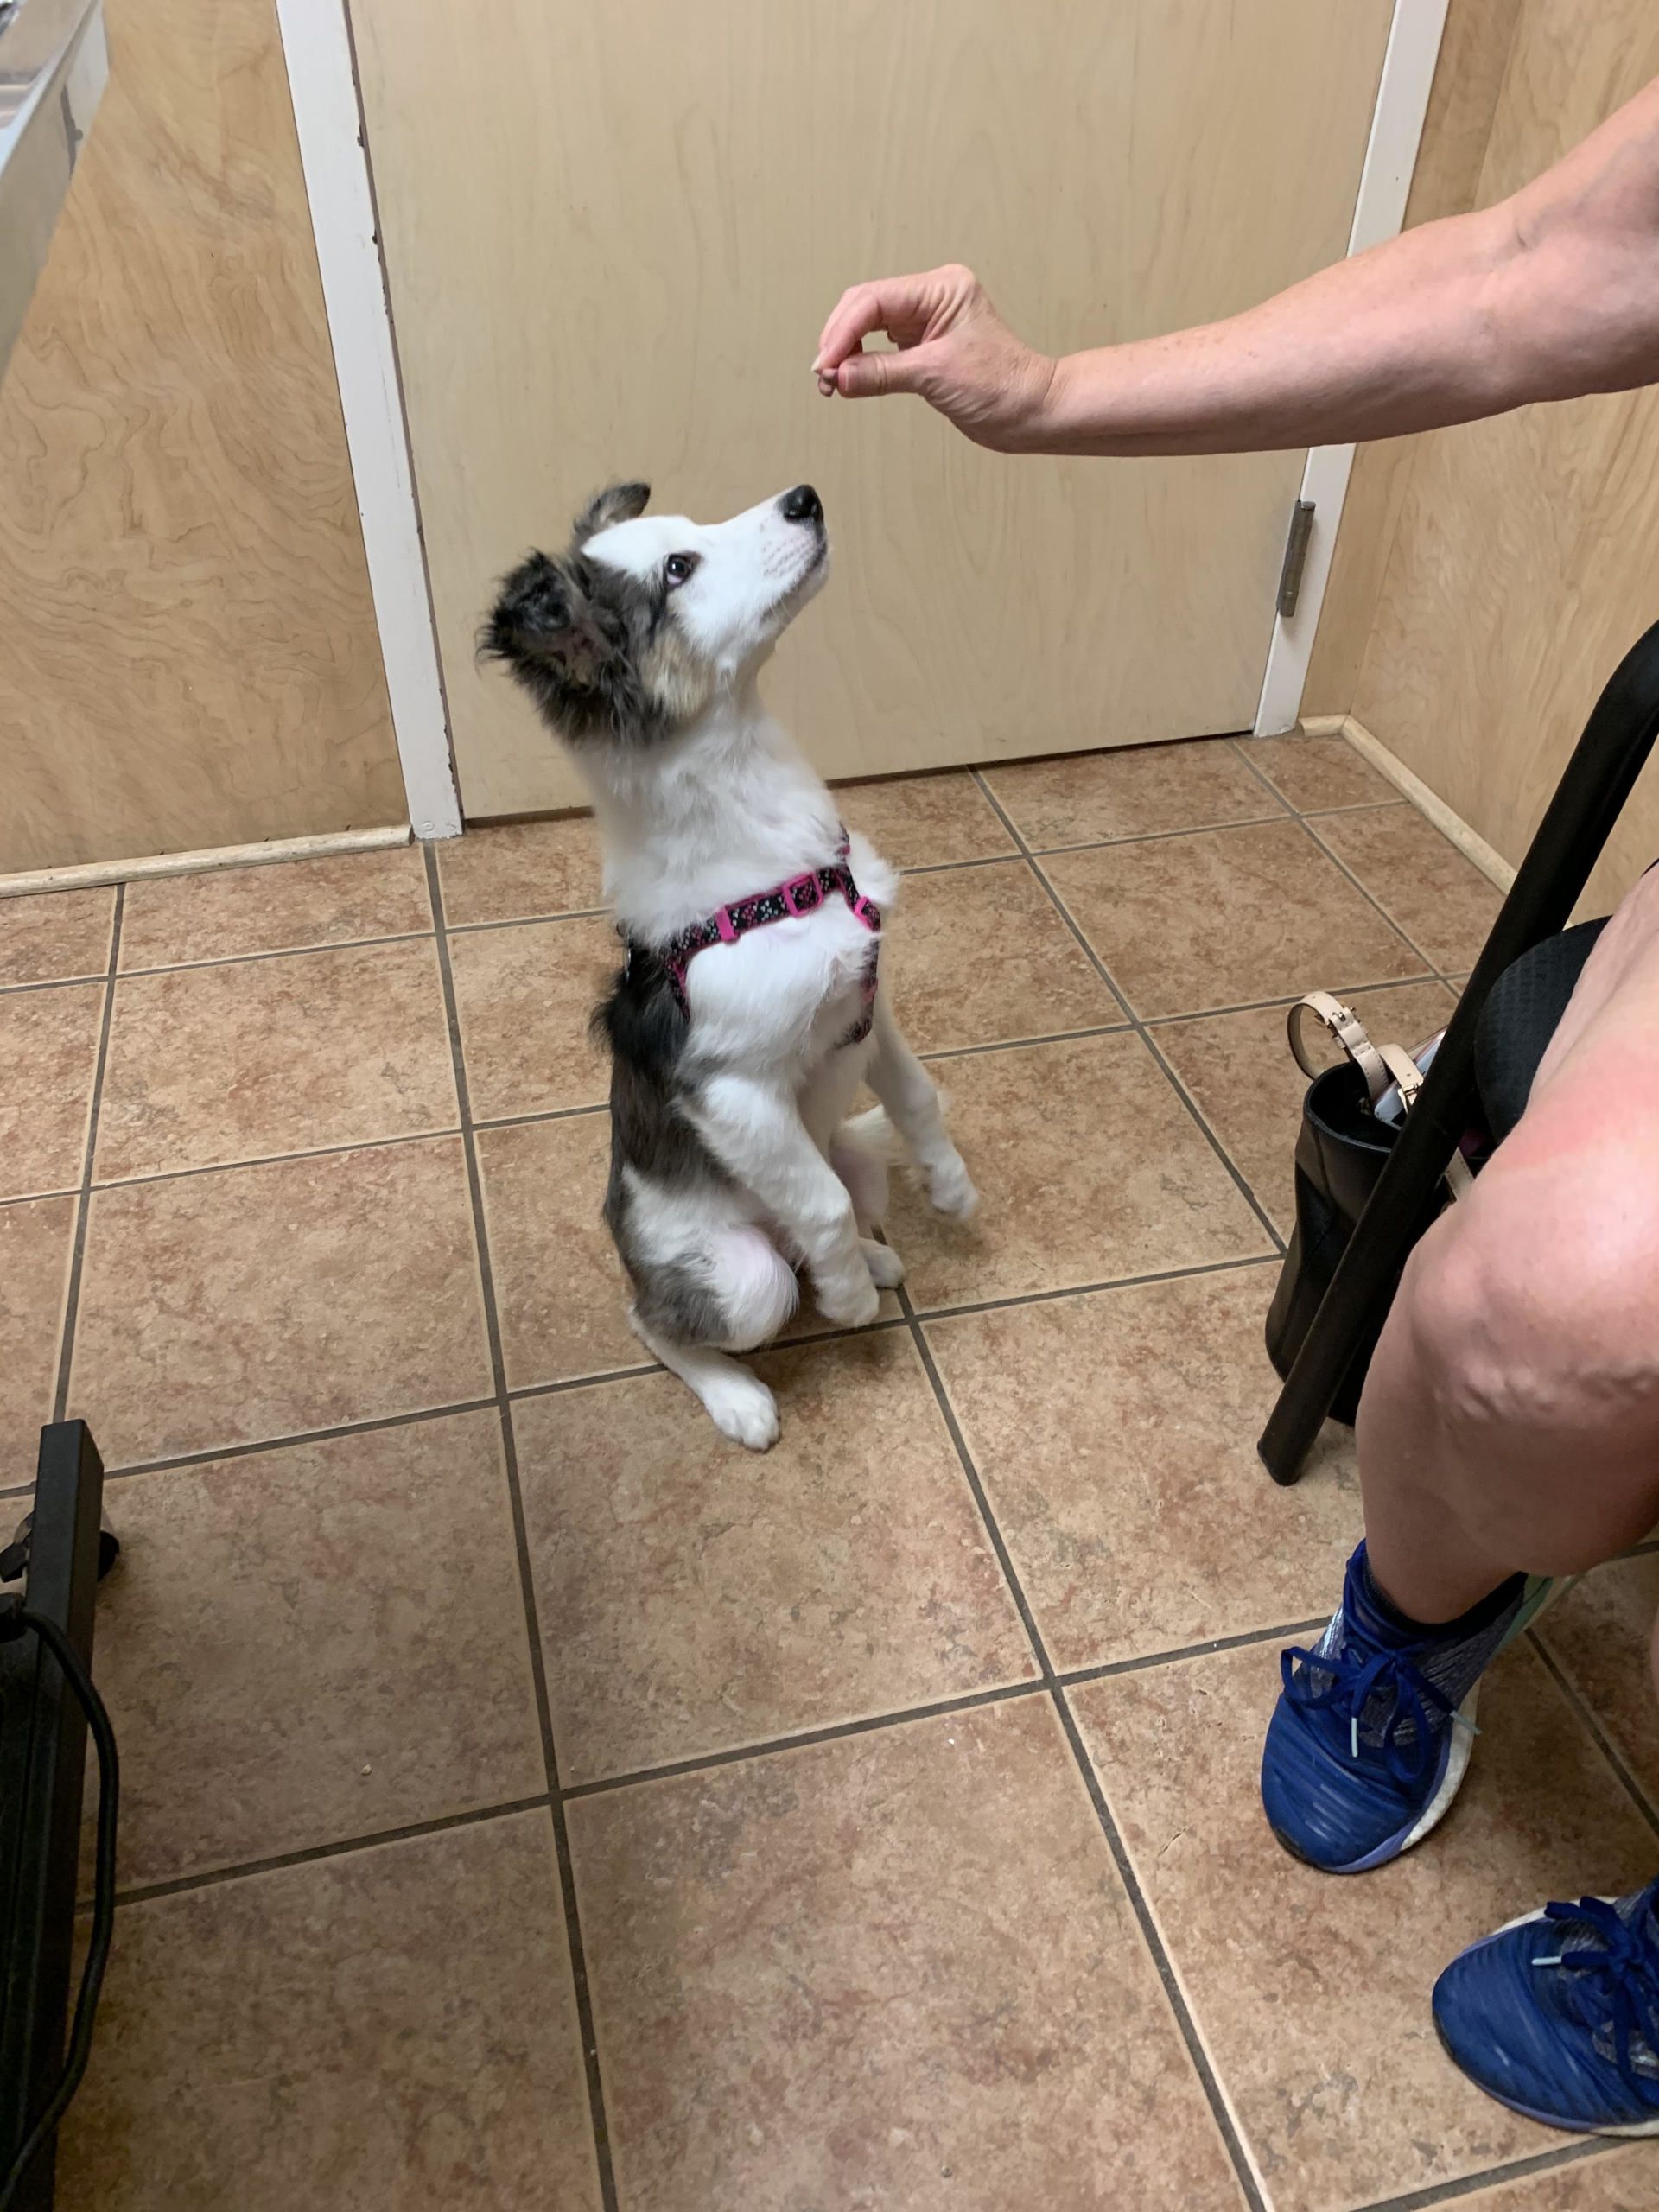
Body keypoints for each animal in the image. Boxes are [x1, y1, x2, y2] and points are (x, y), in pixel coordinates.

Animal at [480, 480, 973, 1451]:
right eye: (679, 569)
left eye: (687, 533)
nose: (805, 497)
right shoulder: (731, 1090)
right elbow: (815, 1202)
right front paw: (849, 1305)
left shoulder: (869, 1005)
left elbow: (917, 1097)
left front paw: (948, 1184)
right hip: (740, 1278)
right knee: (665, 1318)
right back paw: (746, 1387)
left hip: (850, 1160)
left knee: (842, 1193)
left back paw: (874, 1256)